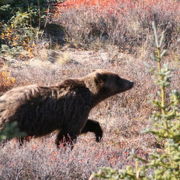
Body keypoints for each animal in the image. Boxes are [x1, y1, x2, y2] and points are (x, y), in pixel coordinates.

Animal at [0, 69, 134, 148]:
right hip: (14, 119)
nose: (131, 82)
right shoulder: (76, 108)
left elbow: (85, 125)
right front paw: (65, 149)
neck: (91, 97)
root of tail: (3, 98)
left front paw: (98, 134)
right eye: (118, 78)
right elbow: (67, 135)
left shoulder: (76, 113)